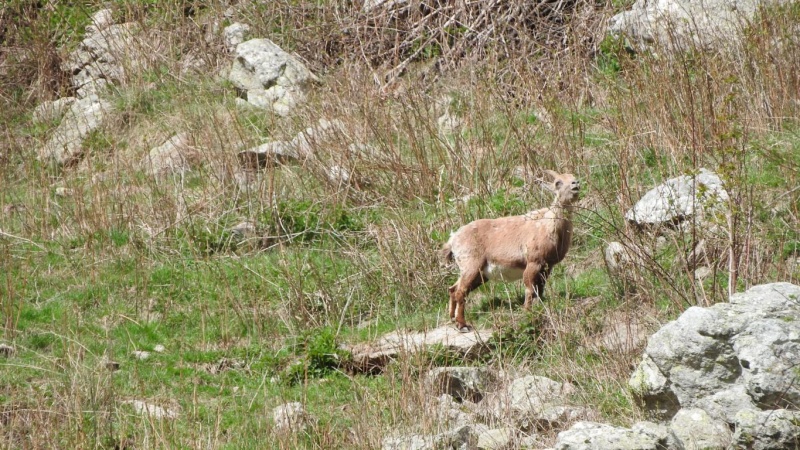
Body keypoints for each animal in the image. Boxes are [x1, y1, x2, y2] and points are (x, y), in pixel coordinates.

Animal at [438, 171, 580, 332]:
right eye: (558, 183)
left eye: (573, 177)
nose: (576, 184)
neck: (548, 224)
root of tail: (453, 239)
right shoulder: (533, 262)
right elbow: (529, 289)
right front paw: (528, 312)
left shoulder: (547, 266)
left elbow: (540, 289)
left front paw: (540, 307)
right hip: (471, 265)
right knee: (460, 291)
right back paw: (463, 325)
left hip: (479, 274)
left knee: (453, 289)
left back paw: (453, 319)